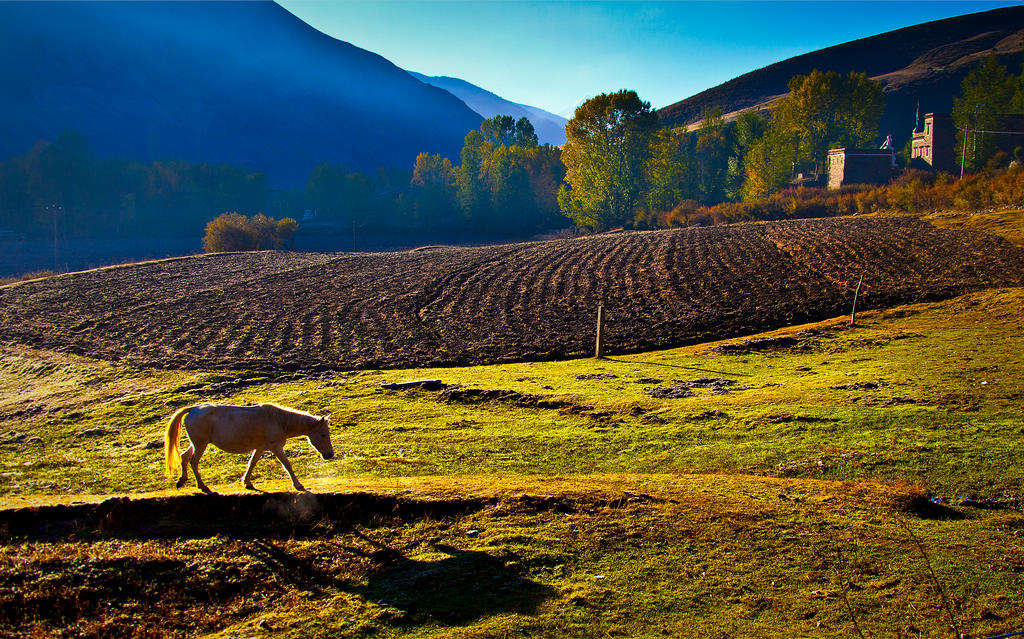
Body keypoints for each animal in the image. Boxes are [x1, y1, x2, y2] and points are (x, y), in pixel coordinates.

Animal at [161, 403, 333, 493]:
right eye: (323, 434)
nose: (329, 455)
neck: (278, 421)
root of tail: (193, 409)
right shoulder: (276, 447)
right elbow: (287, 465)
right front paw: (298, 485)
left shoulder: (260, 448)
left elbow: (251, 463)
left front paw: (247, 482)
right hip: (200, 445)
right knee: (193, 461)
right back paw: (202, 486)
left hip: (197, 444)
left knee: (184, 457)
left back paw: (181, 481)